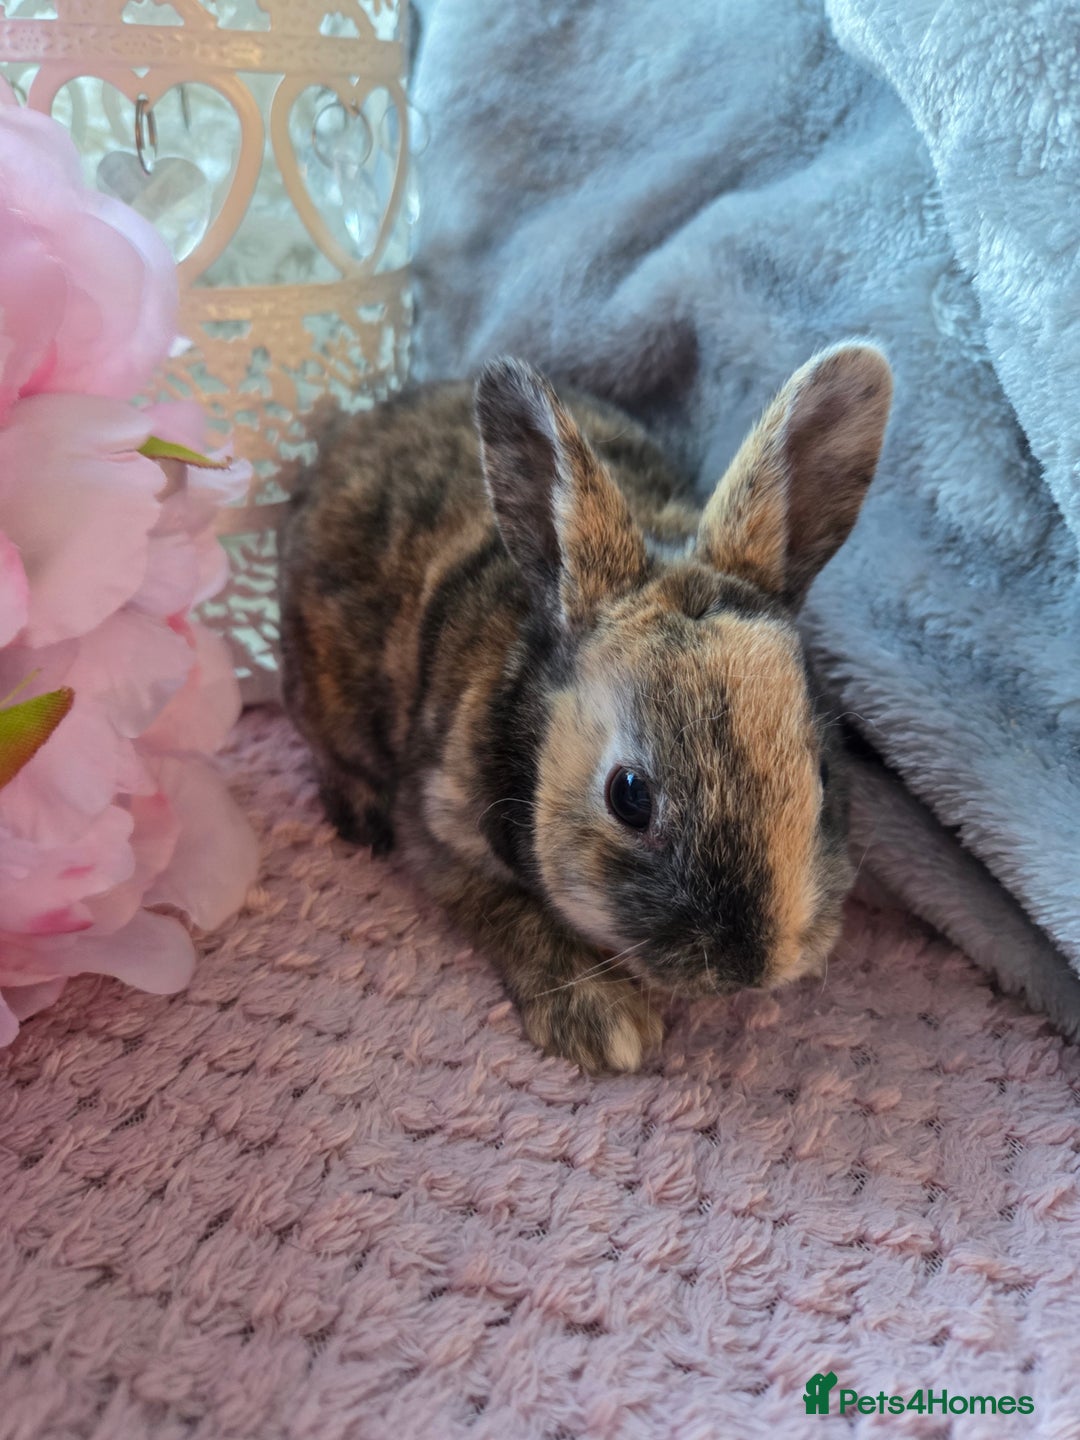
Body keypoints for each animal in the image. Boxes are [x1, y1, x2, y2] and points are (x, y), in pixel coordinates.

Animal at [278, 343, 893, 1073]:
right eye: (629, 797)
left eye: (823, 775)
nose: (750, 967)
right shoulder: (435, 826)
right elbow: (503, 909)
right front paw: (606, 1024)